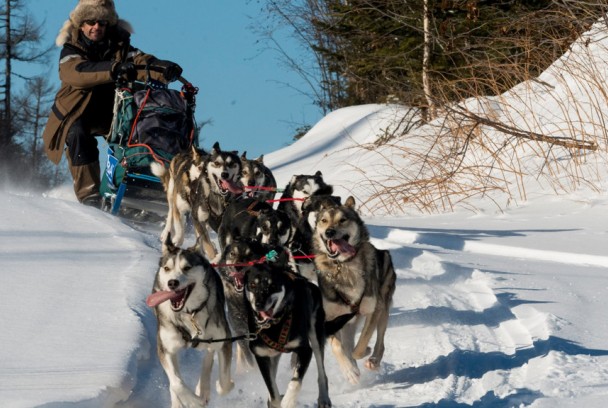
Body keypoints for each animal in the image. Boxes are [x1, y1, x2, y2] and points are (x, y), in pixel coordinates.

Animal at [146, 237, 234, 408]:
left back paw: (203, 387)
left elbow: (224, 385)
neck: (189, 313)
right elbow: (176, 383)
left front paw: (220, 386)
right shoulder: (165, 348)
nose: (172, 283)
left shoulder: (224, 340)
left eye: (187, 267)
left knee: (209, 354)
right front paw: (192, 401)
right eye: (167, 268)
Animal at [312, 196, 396, 384]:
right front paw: (349, 370)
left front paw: (364, 353)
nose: (329, 232)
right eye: (323, 220)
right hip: (347, 321)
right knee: (348, 343)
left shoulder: (373, 309)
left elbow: (361, 344)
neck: (343, 266)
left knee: (380, 341)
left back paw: (373, 359)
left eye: (343, 219)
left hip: (383, 309)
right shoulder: (329, 319)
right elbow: (338, 347)